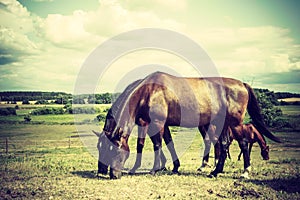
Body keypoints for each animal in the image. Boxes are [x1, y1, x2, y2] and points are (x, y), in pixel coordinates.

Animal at [94, 71, 282, 179]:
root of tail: (242, 84)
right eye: (99, 148)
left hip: (234, 124)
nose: (105, 172)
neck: (149, 91)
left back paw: (244, 172)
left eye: (114, 149)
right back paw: (215, 171)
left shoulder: (155, 123)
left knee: (242, 143)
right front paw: (171, 167)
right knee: (222, 144)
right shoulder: (160, 124)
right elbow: (167, 143)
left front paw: (154, 169)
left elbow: (155, 144)